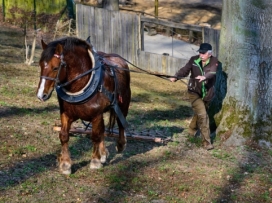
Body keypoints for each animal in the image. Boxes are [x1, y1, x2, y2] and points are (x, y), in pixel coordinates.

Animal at [35, 36, 131, 174]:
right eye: (41, 65)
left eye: (55, 68)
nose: (41, 95)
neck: (81, 83)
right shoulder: (66, 114)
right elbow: (64, 135)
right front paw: (65, 164)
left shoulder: (96, 115)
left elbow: (95, 136)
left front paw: (95, 161)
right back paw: (103, 154)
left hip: (124, 102)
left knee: (121, 121)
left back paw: (121, 144)